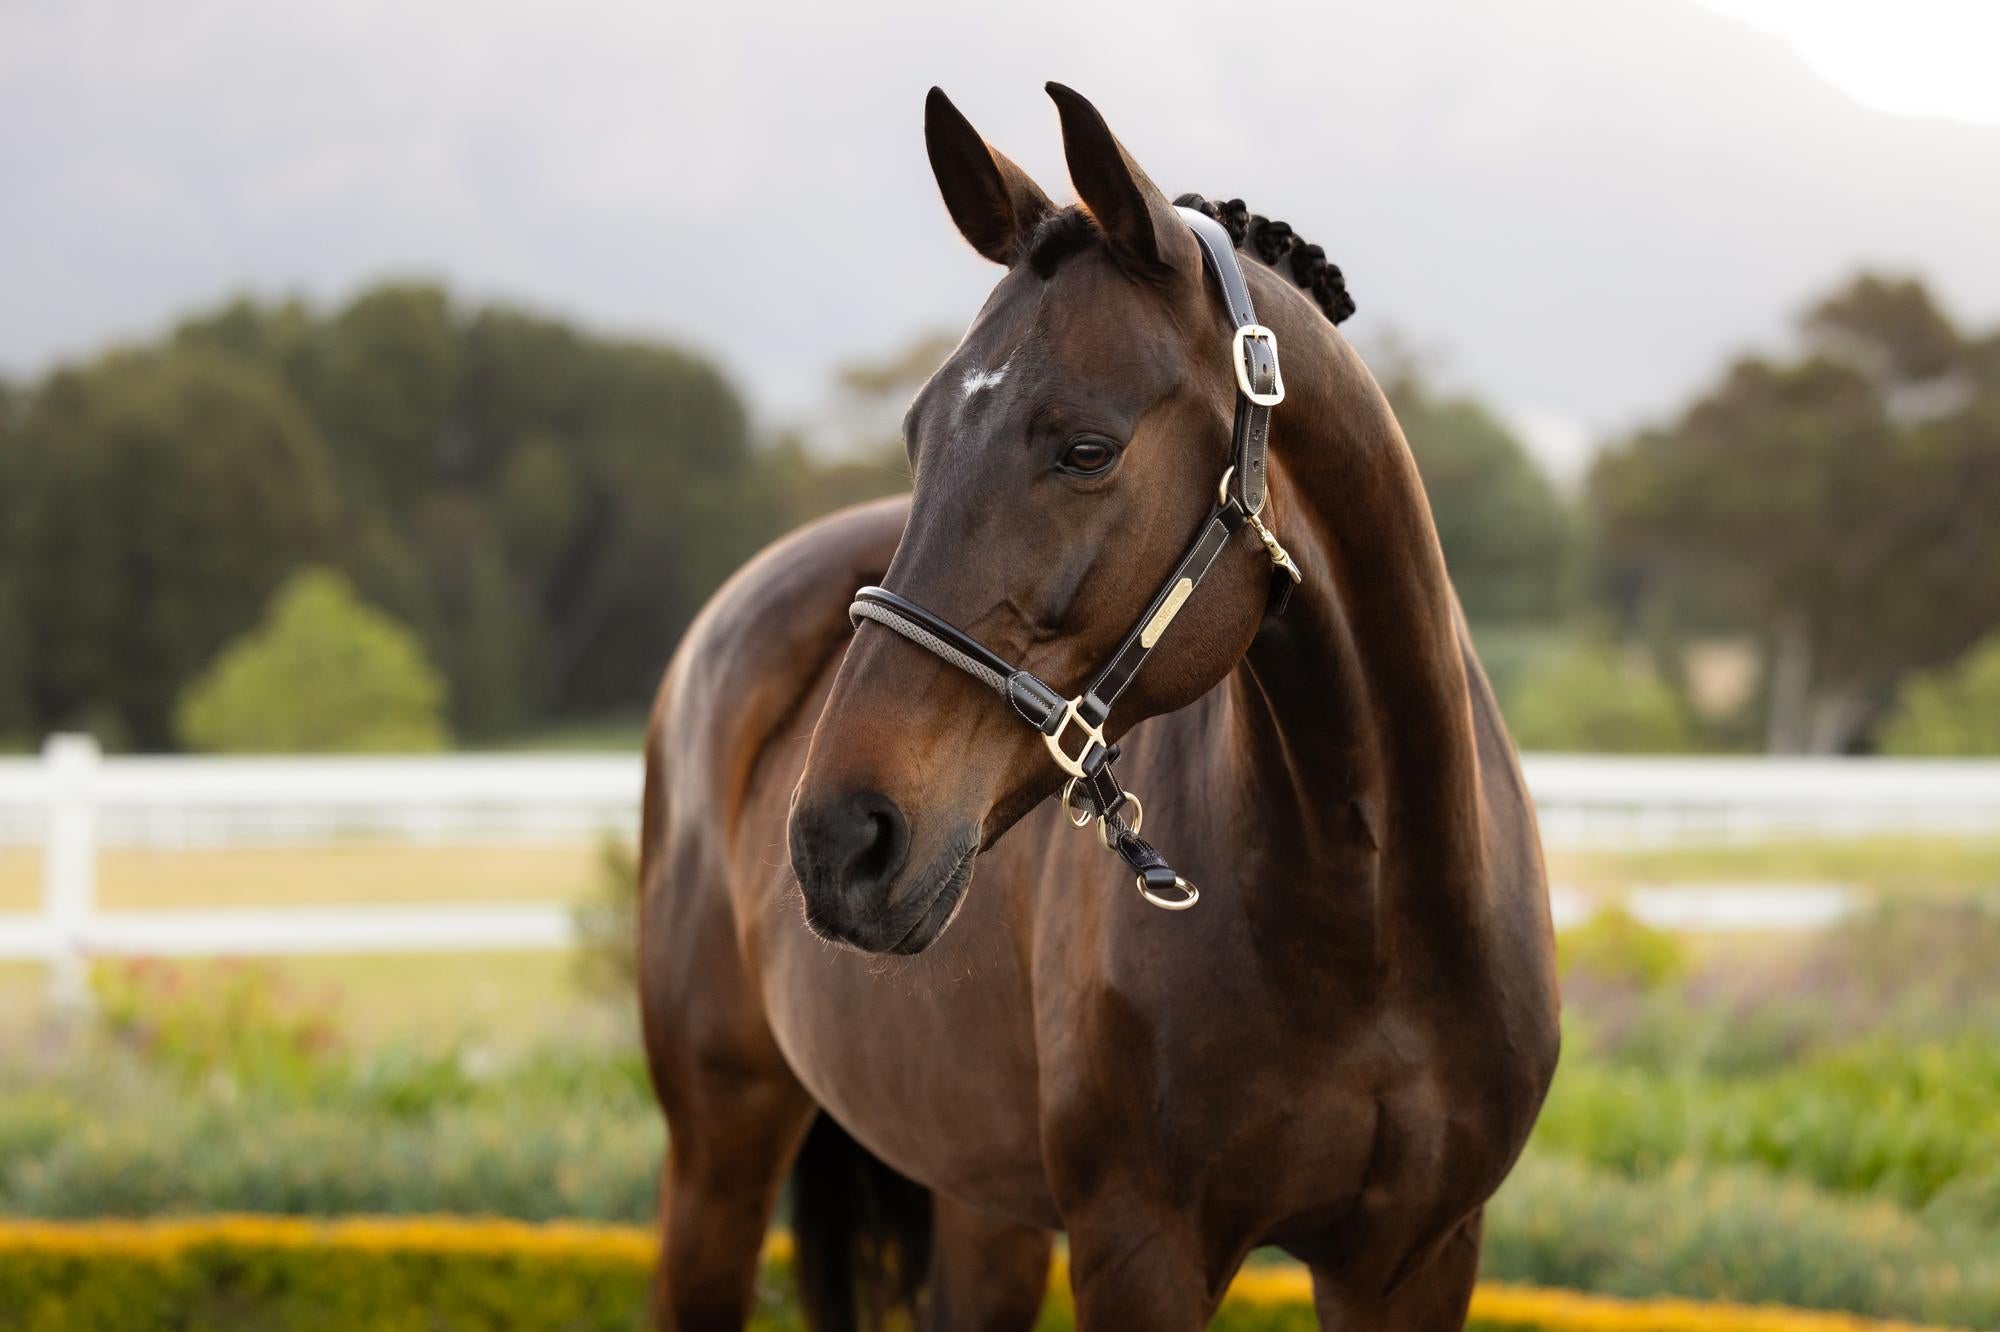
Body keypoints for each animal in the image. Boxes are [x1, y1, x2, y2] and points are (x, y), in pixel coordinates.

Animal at [637, 82, 1560, 1331]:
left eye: (1086, 448)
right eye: (919, 434)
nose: (838, 841)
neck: (1368, 919)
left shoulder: (1414, 1260)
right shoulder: (1139, 1247)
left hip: (980, 1197)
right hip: (718, 1151)